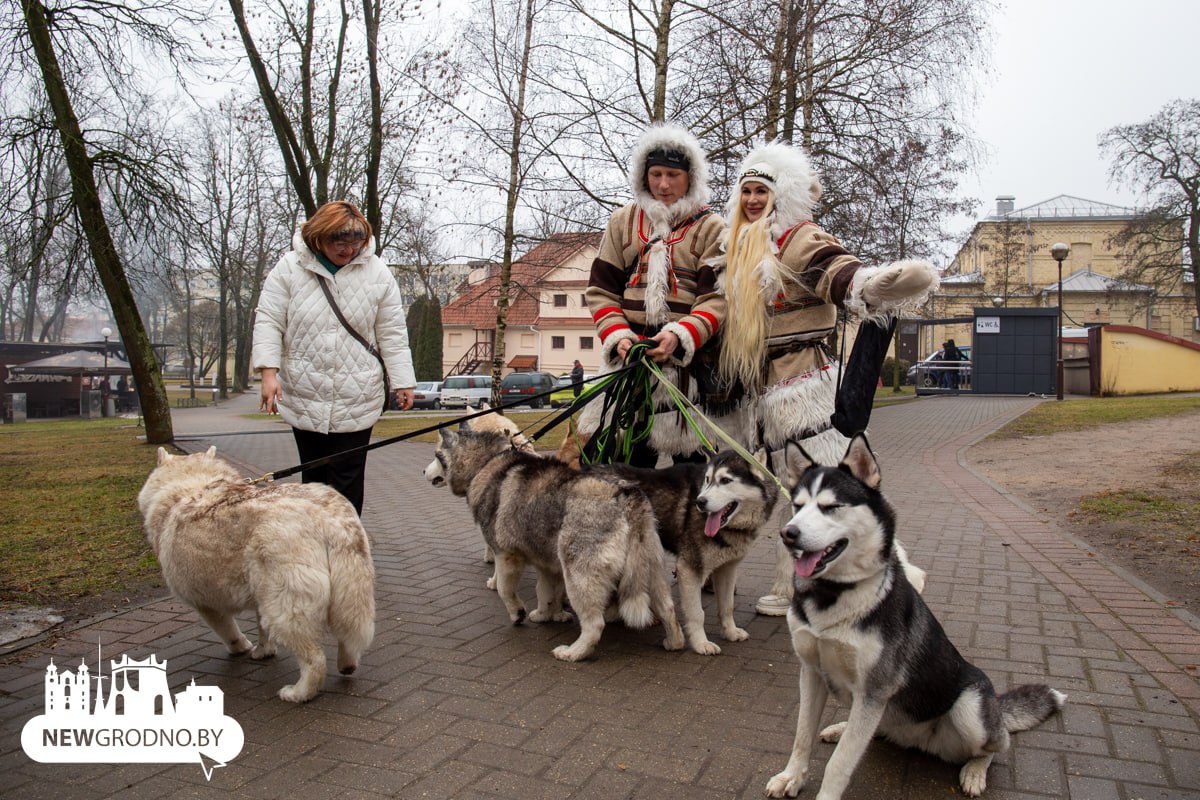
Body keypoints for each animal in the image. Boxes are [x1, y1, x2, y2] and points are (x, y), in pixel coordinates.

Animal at [136, 448, 372, 705]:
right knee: (347, 637)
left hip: (285, 611)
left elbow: (228, 631)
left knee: (315, 660)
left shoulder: (206, 604)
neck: (192, 486)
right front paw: (263, 651)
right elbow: (262, 630)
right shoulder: (261, 597)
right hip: (340, 595)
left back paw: (298, 693)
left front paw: (240, 647)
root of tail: (329, 519)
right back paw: (347, 664)